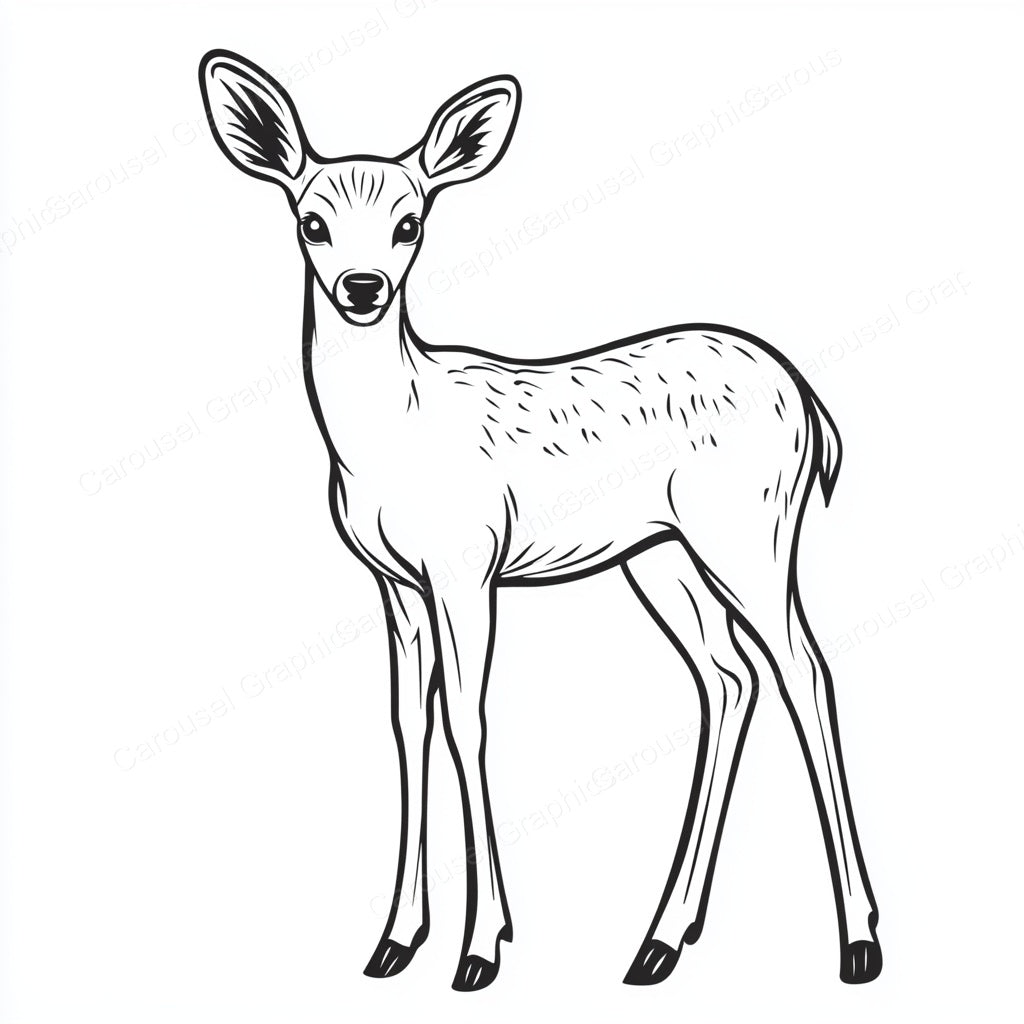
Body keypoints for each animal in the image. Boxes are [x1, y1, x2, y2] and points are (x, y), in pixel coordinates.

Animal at [199, 50, 882, 992]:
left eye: (409, 223)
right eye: (312, 222)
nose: (362, 288)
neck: (389, 439)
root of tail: (810, 402)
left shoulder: (466, 563)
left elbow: (469, 721)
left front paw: (481, 948)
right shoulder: (394, 583)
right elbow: (407, 724)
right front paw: (394, 942)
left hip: (750, 530)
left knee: (803, 669)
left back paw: (858, 941)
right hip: (661, 555)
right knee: (728, 676)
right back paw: (661, 940)